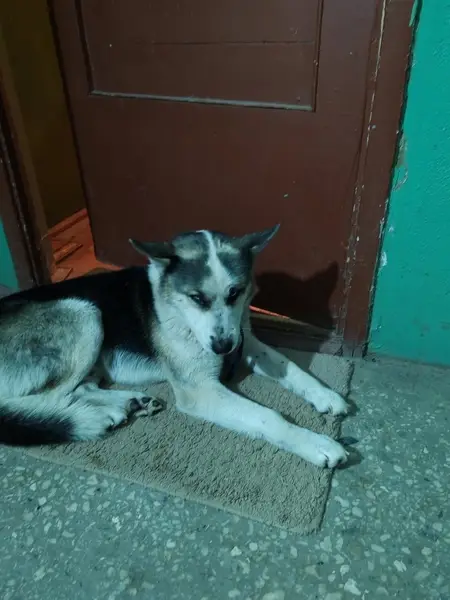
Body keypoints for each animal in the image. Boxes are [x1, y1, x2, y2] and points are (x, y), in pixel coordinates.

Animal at [0, 226, 349, 467]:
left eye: (235, 293)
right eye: (197, 297)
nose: (223, 348)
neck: (176, 308)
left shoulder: (247, 343)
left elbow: (293, 368)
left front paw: (326, 395)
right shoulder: (201, 391)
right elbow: (269, 417)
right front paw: (316, 443)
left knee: (80, 388)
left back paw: (129, 403)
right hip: (83, 313)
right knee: (45, 399)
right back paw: (93, 416)